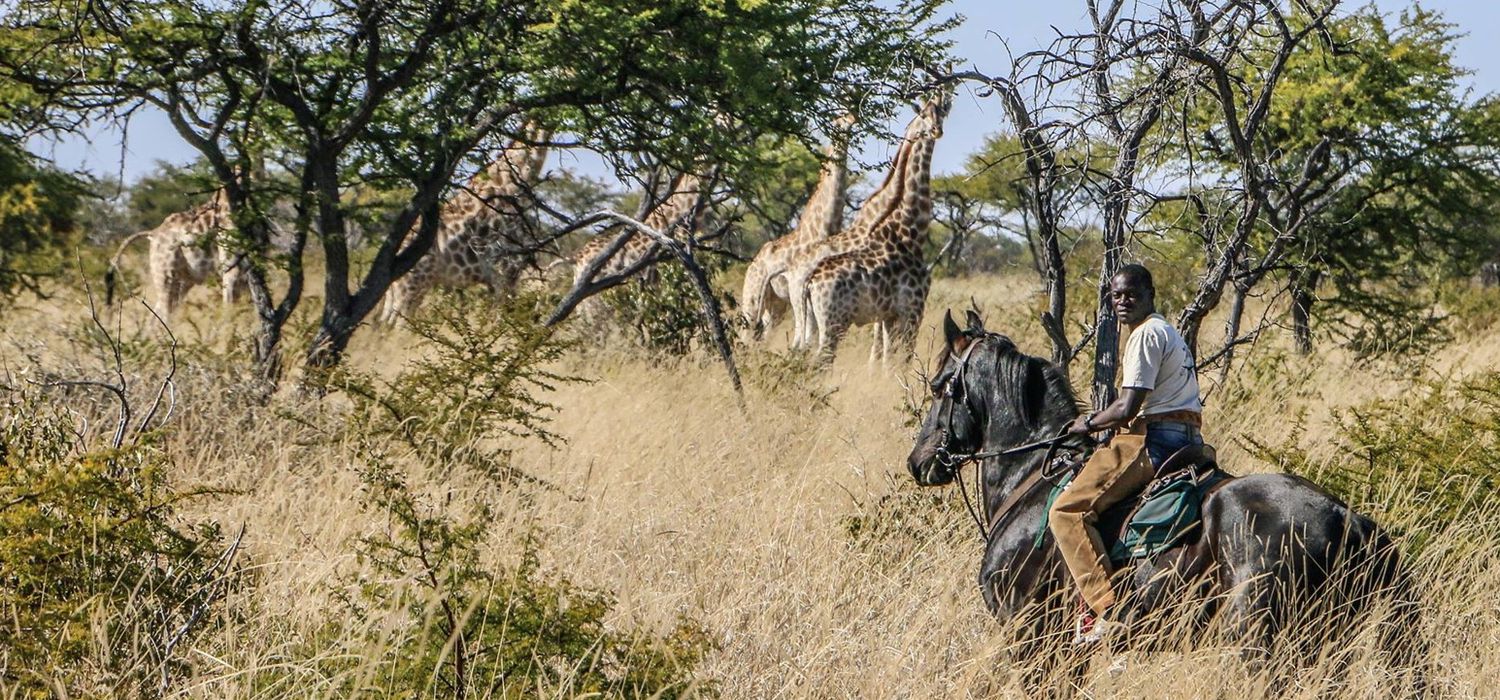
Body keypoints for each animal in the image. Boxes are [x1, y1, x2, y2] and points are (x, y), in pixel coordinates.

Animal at [105, 186, 247, 317]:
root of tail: (153, 233)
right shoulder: (231, 267)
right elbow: (229, 309)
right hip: (166, 278)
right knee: (162, 315)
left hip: (182, 282)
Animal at [378, 124, 555, 325]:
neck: (512, 183)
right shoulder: (503, 270)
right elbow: (499, 322)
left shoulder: (503, 276)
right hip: (414, 285)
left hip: (400, 291)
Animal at [741, 115, 858, 343]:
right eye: (838, 121)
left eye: (849, 115)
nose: (852, 120)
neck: (823, 227)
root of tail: (751, 266)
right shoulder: (801, 286)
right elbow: (806, 337)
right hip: (752, 300)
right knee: (746, 335)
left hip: (775, 305)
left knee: (766, 334)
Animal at [804, 90, 942, 364]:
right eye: (923, 114)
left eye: (940, 112)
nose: (936, 130)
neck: (911, 231)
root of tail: (810, 282)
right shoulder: (913, 310)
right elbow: (902, 362)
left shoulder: (890, 316)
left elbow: (888, 361)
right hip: (835, 323)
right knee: (819, 363)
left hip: (814, 323)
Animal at [900, 311, 1416, 689]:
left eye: (939, 385)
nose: (919, 462)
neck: (1029, 478)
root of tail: (1346, 516)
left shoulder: (1030, 635)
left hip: (1264, 641)